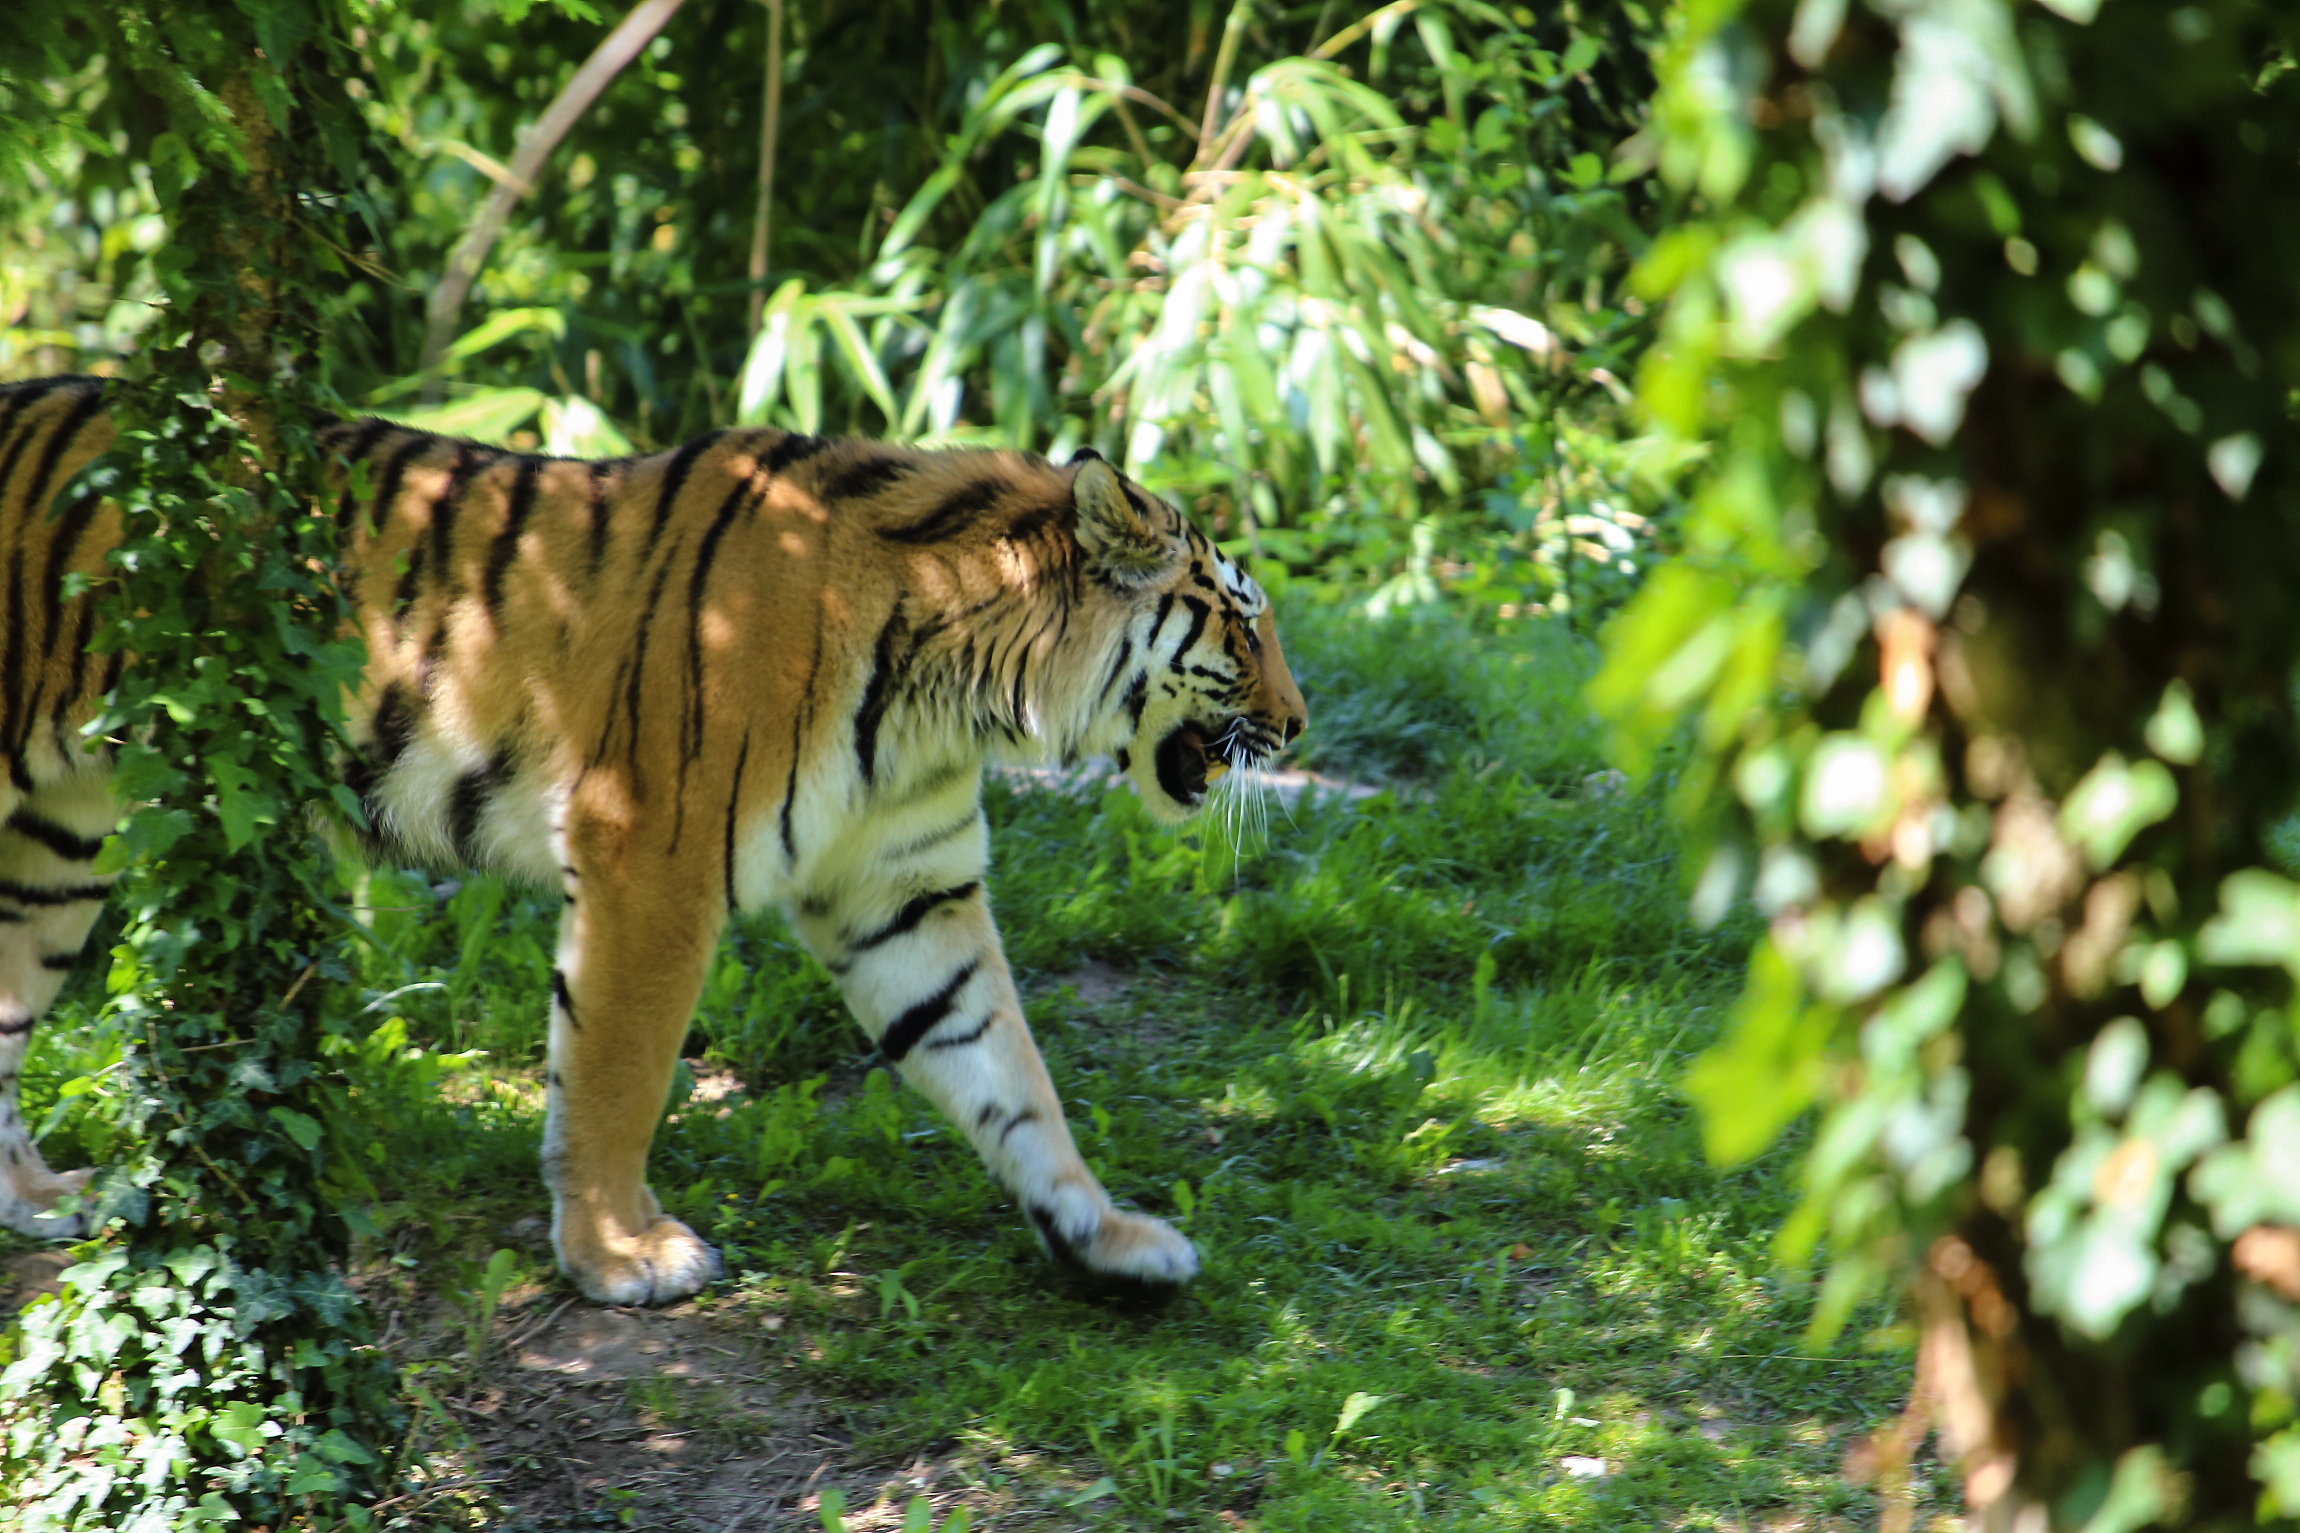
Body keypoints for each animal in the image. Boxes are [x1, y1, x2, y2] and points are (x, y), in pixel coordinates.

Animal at [0, 375, 1306, 1304]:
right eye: (1242, 629)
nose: (1298, 728)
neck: (957, 689)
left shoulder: (906, 891)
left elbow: (1006, 1072)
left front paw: (1104, 1235)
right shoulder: (652, 860)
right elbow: (618, 1072)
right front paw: (615, 1256)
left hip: (57, 848)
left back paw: (41, 1200)